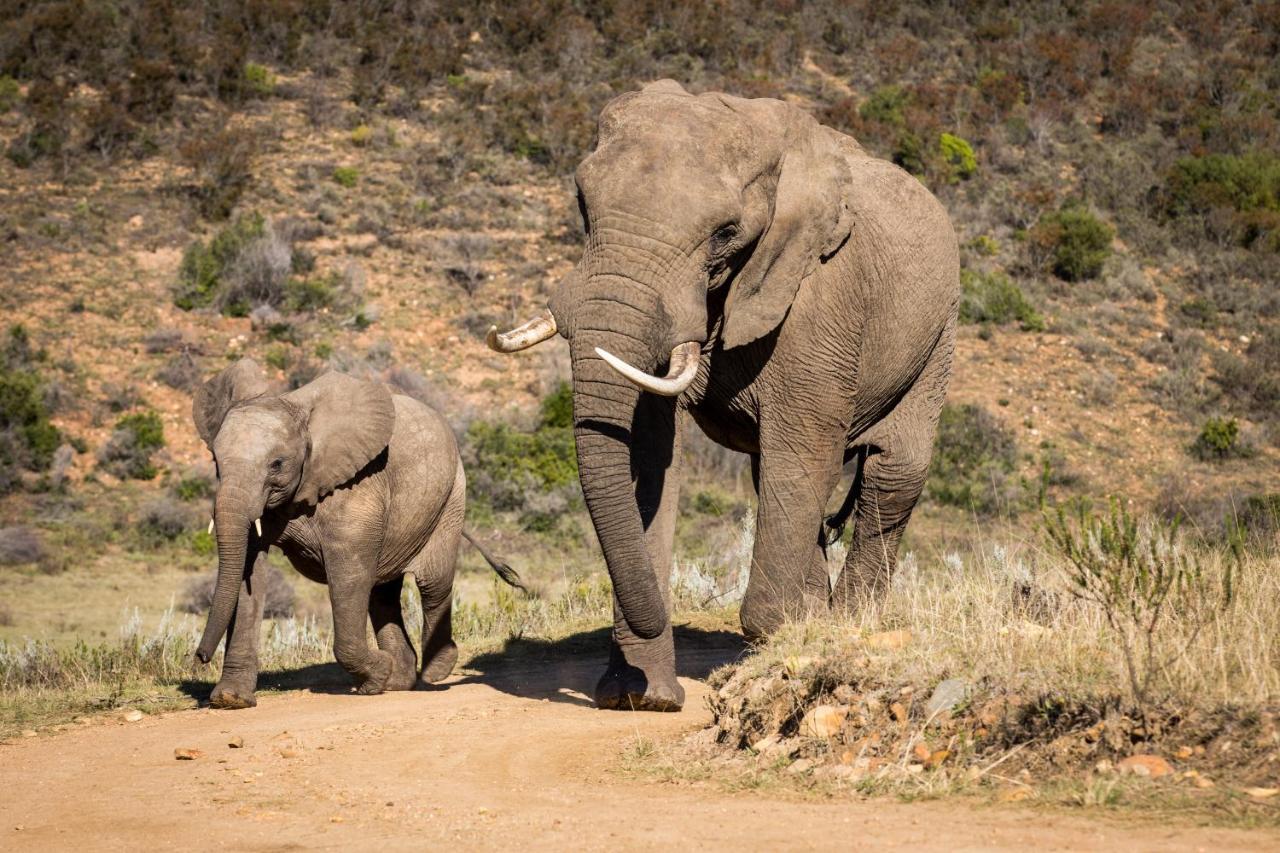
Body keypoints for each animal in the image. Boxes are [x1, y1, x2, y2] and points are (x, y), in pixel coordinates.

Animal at [190, 356, 519, 706]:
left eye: (277, 463)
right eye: (216, 462)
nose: (200, 657)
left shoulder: (357, 486)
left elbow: (349, 576)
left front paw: (375, 678)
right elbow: (248, 575)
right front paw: (231, 700)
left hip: (452, 495)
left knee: (433, 584)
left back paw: (434, 672)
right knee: (382, 592)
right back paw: (399, 680)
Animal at [488, 79, 962, 706]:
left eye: (725, 233)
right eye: (583, 204)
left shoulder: (818, 299)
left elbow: (803, 451)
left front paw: (788, 640)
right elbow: (650, 455)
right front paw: (642, 698)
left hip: (939, 331)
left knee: (892, 470)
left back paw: (845, 625)